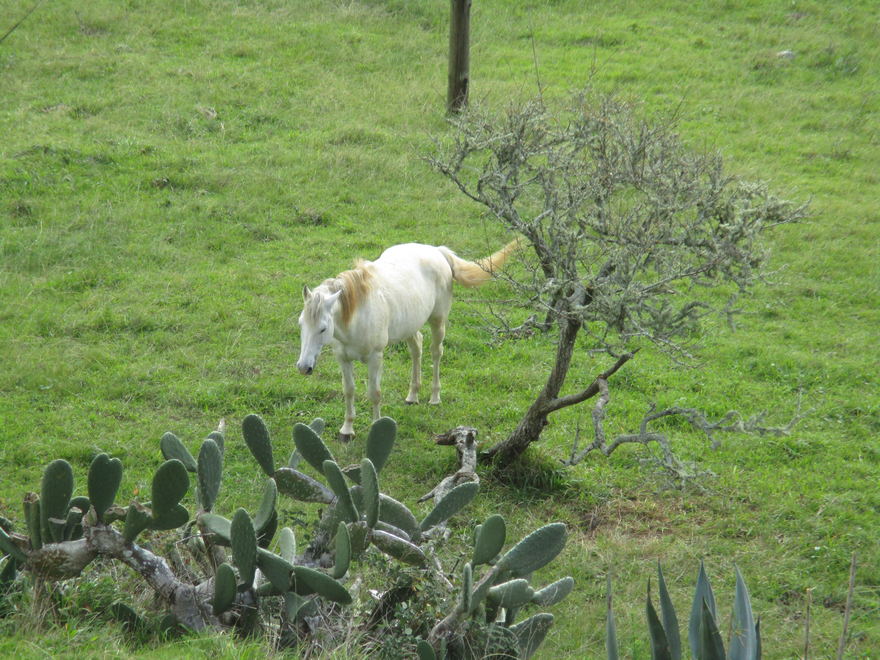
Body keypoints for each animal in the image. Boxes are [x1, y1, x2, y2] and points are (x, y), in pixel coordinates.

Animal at [298, 240, 516, 440]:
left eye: (322, 328)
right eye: (301, 324)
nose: (303, 367)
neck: (357, 314)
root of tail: (437, 251)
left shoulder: (376, 357)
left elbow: (374, 393)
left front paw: (376, 428)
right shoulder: (343, 358)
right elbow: (349, 391)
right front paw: (347, 430)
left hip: (438, 321)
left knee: (436, 352)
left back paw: (434, 397)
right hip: (410, 324)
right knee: (416, 348)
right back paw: (413, 396)